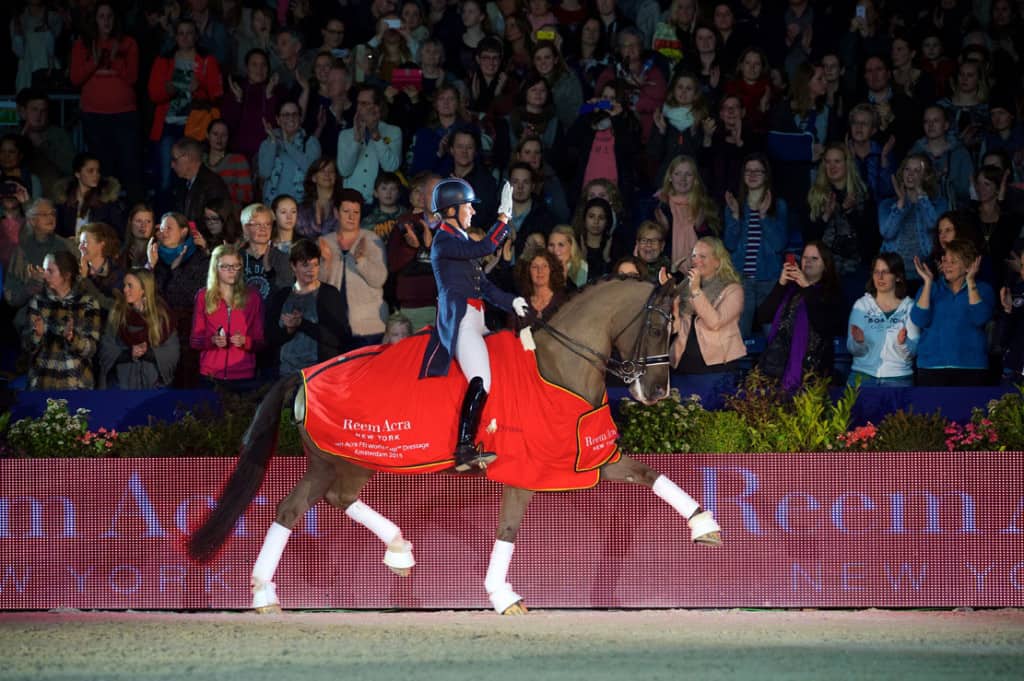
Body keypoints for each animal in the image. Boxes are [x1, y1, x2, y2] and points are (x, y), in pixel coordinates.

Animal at [188, 274, 724, 614]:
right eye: (656, 326)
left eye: (678, 329)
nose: (658, 391)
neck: (556, 365)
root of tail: (304, 374)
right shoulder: (526, 469)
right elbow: (508, 528)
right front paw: (503, 596)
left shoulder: (589, 456)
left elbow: (650, 473)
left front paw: (705, 525)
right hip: (347, 457)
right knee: (315, 503)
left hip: (335, 461)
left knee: (298, 507)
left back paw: (284, 588)